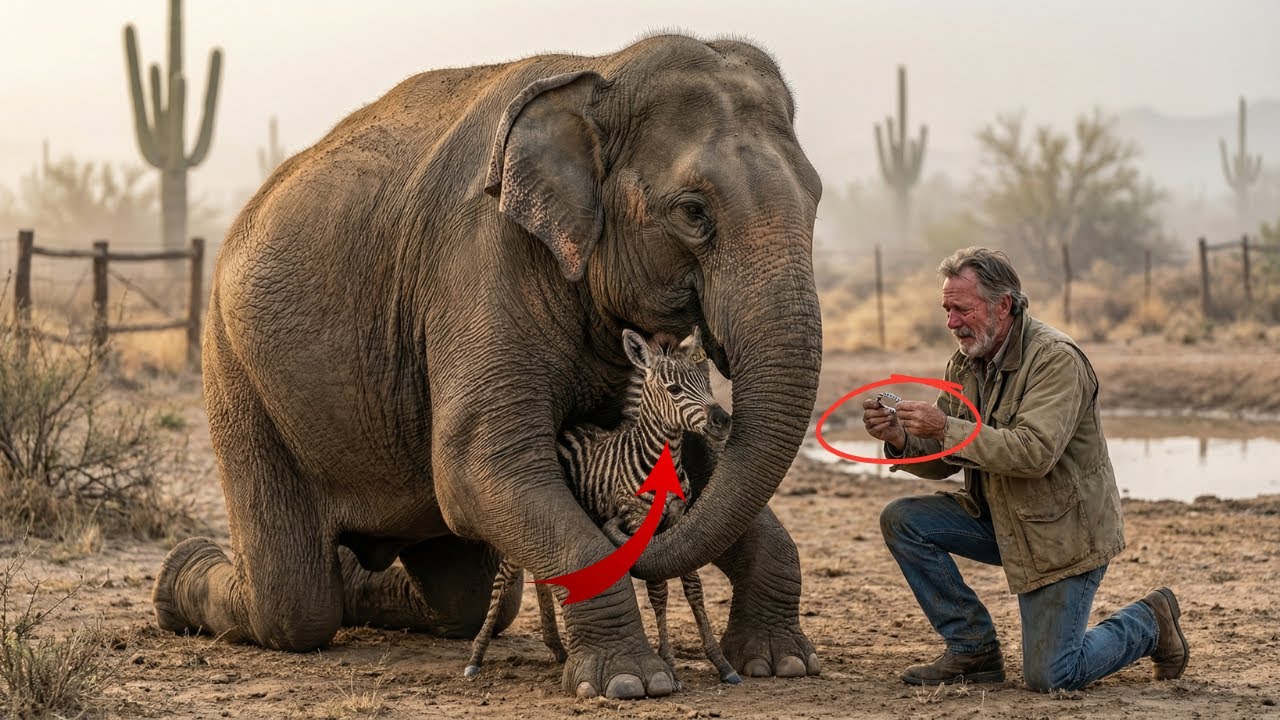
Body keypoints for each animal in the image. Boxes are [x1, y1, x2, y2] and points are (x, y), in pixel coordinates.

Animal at [465, 327, 740, 686]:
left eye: (706, 384)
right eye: (674, 390)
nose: (722, 421)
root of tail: (561, 431)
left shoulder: (678, 520)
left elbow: (693, 589)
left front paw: (723, 664)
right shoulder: (638, 522)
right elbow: (659, 591)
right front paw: (669, 664)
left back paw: (560, 650)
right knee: (504, 578)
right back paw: (476, 657)